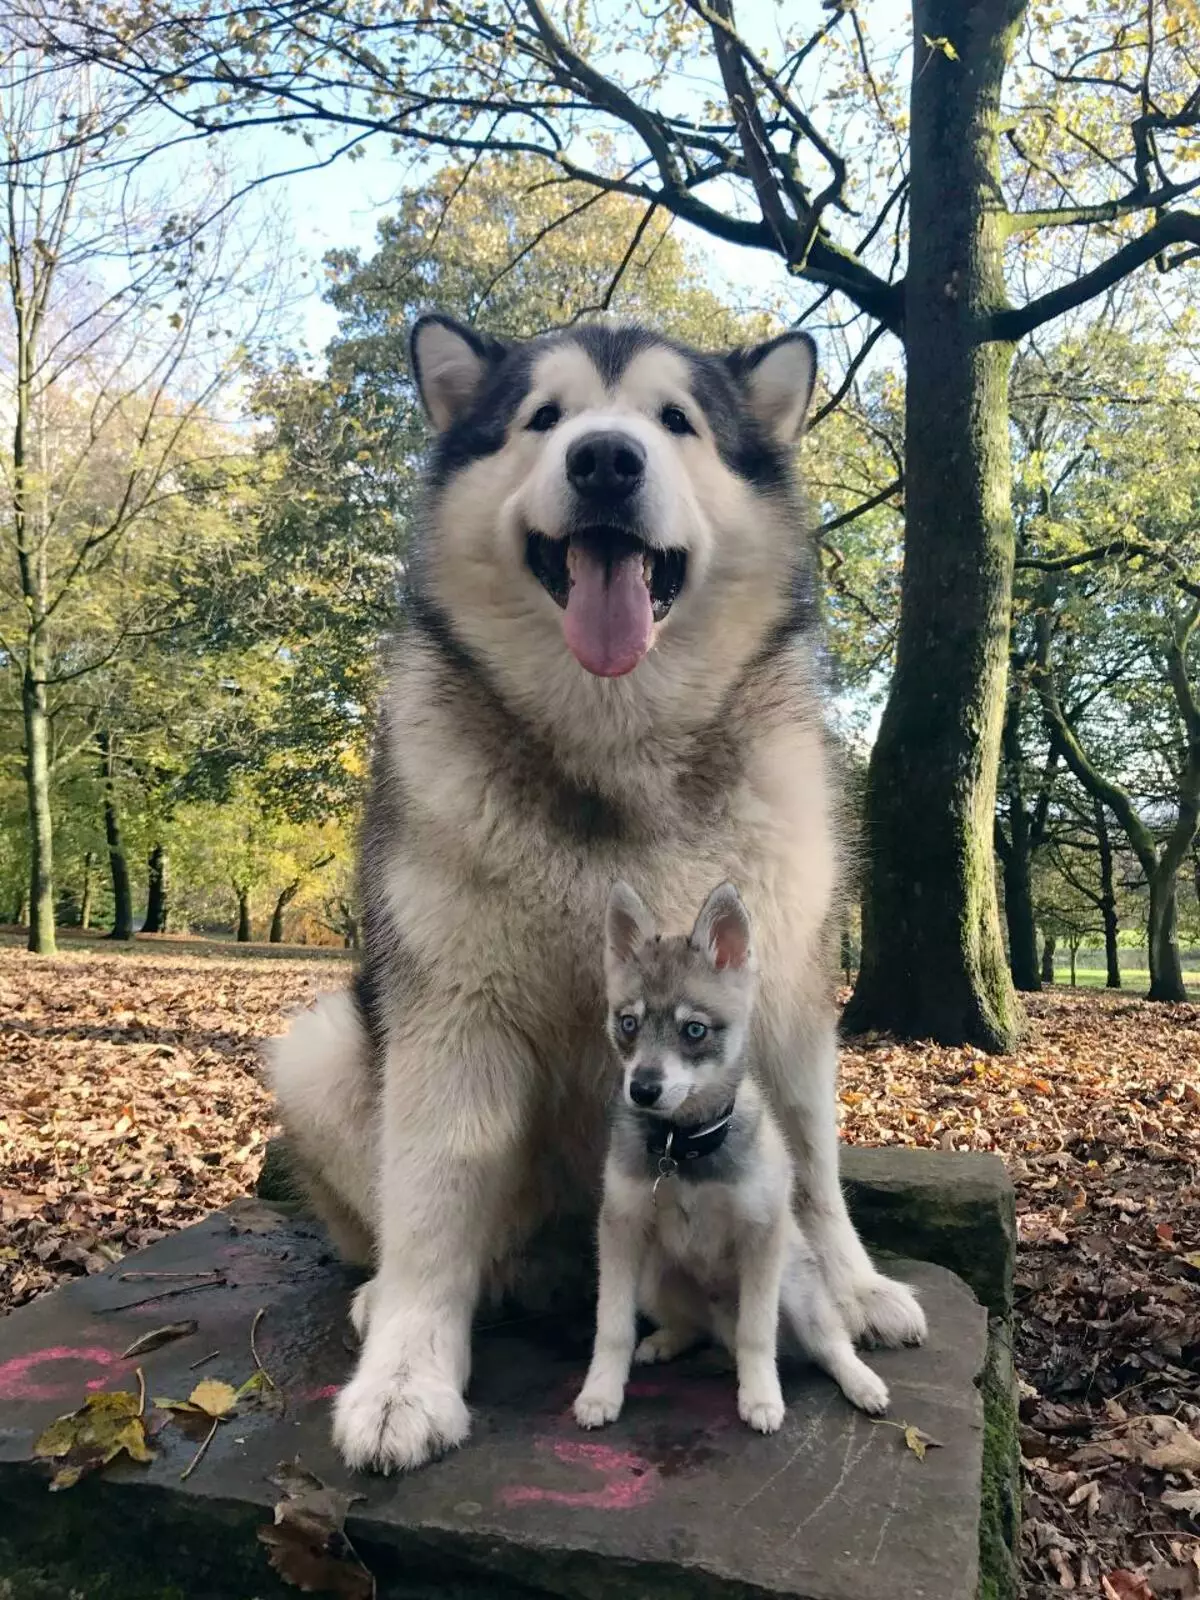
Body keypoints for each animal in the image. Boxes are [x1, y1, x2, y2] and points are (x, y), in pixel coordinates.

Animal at [572, 883, 896, 1433]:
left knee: (827, 1343)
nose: (643, 1089)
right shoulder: (621, 1228)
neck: (682, 1150)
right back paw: (665, 1341)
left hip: (796, 1286)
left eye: (694, 1030)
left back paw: (862, 1383)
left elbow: (757, 1334)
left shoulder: (760, 1237)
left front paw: (761, 1397)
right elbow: (611, 1327)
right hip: (654, 1276)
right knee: (695, 1327)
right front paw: (600, 1392)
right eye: (629, 1023)